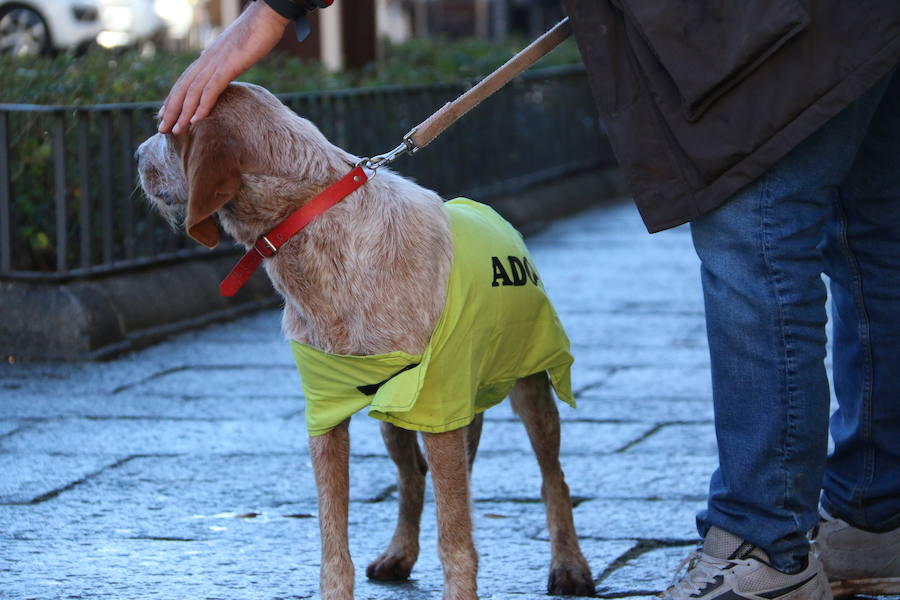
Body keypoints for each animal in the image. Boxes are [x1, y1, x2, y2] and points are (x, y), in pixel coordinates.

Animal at [135, 83, 596, 600]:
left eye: (168, 126)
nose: (135, 156)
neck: (313, 220)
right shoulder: (327, 413)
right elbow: (334, 540)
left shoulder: (439, 407)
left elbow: (456, 539)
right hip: (395, 417)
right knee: (413, 479)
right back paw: (400, 553)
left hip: (530, 386)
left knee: (552, 477)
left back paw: (570, 564)